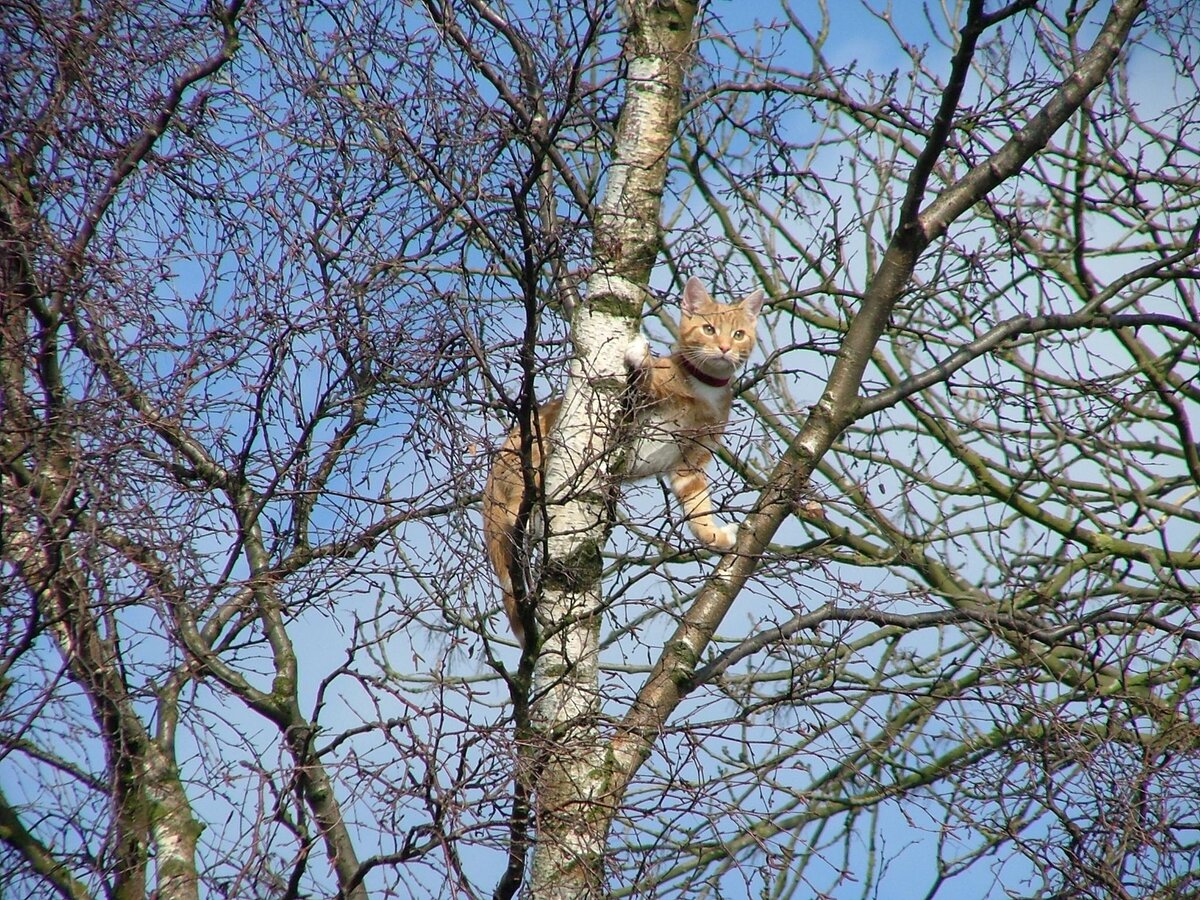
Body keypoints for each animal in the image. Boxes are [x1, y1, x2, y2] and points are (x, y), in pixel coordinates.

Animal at [482, 278, 763, 643]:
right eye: (709, 329)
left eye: (739, 334)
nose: (726, 348)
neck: (705, 389)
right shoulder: (631, 409)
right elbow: (639, 382)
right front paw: (640, 358)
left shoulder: (690, 463)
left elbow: (698, 508)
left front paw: (715, 538)